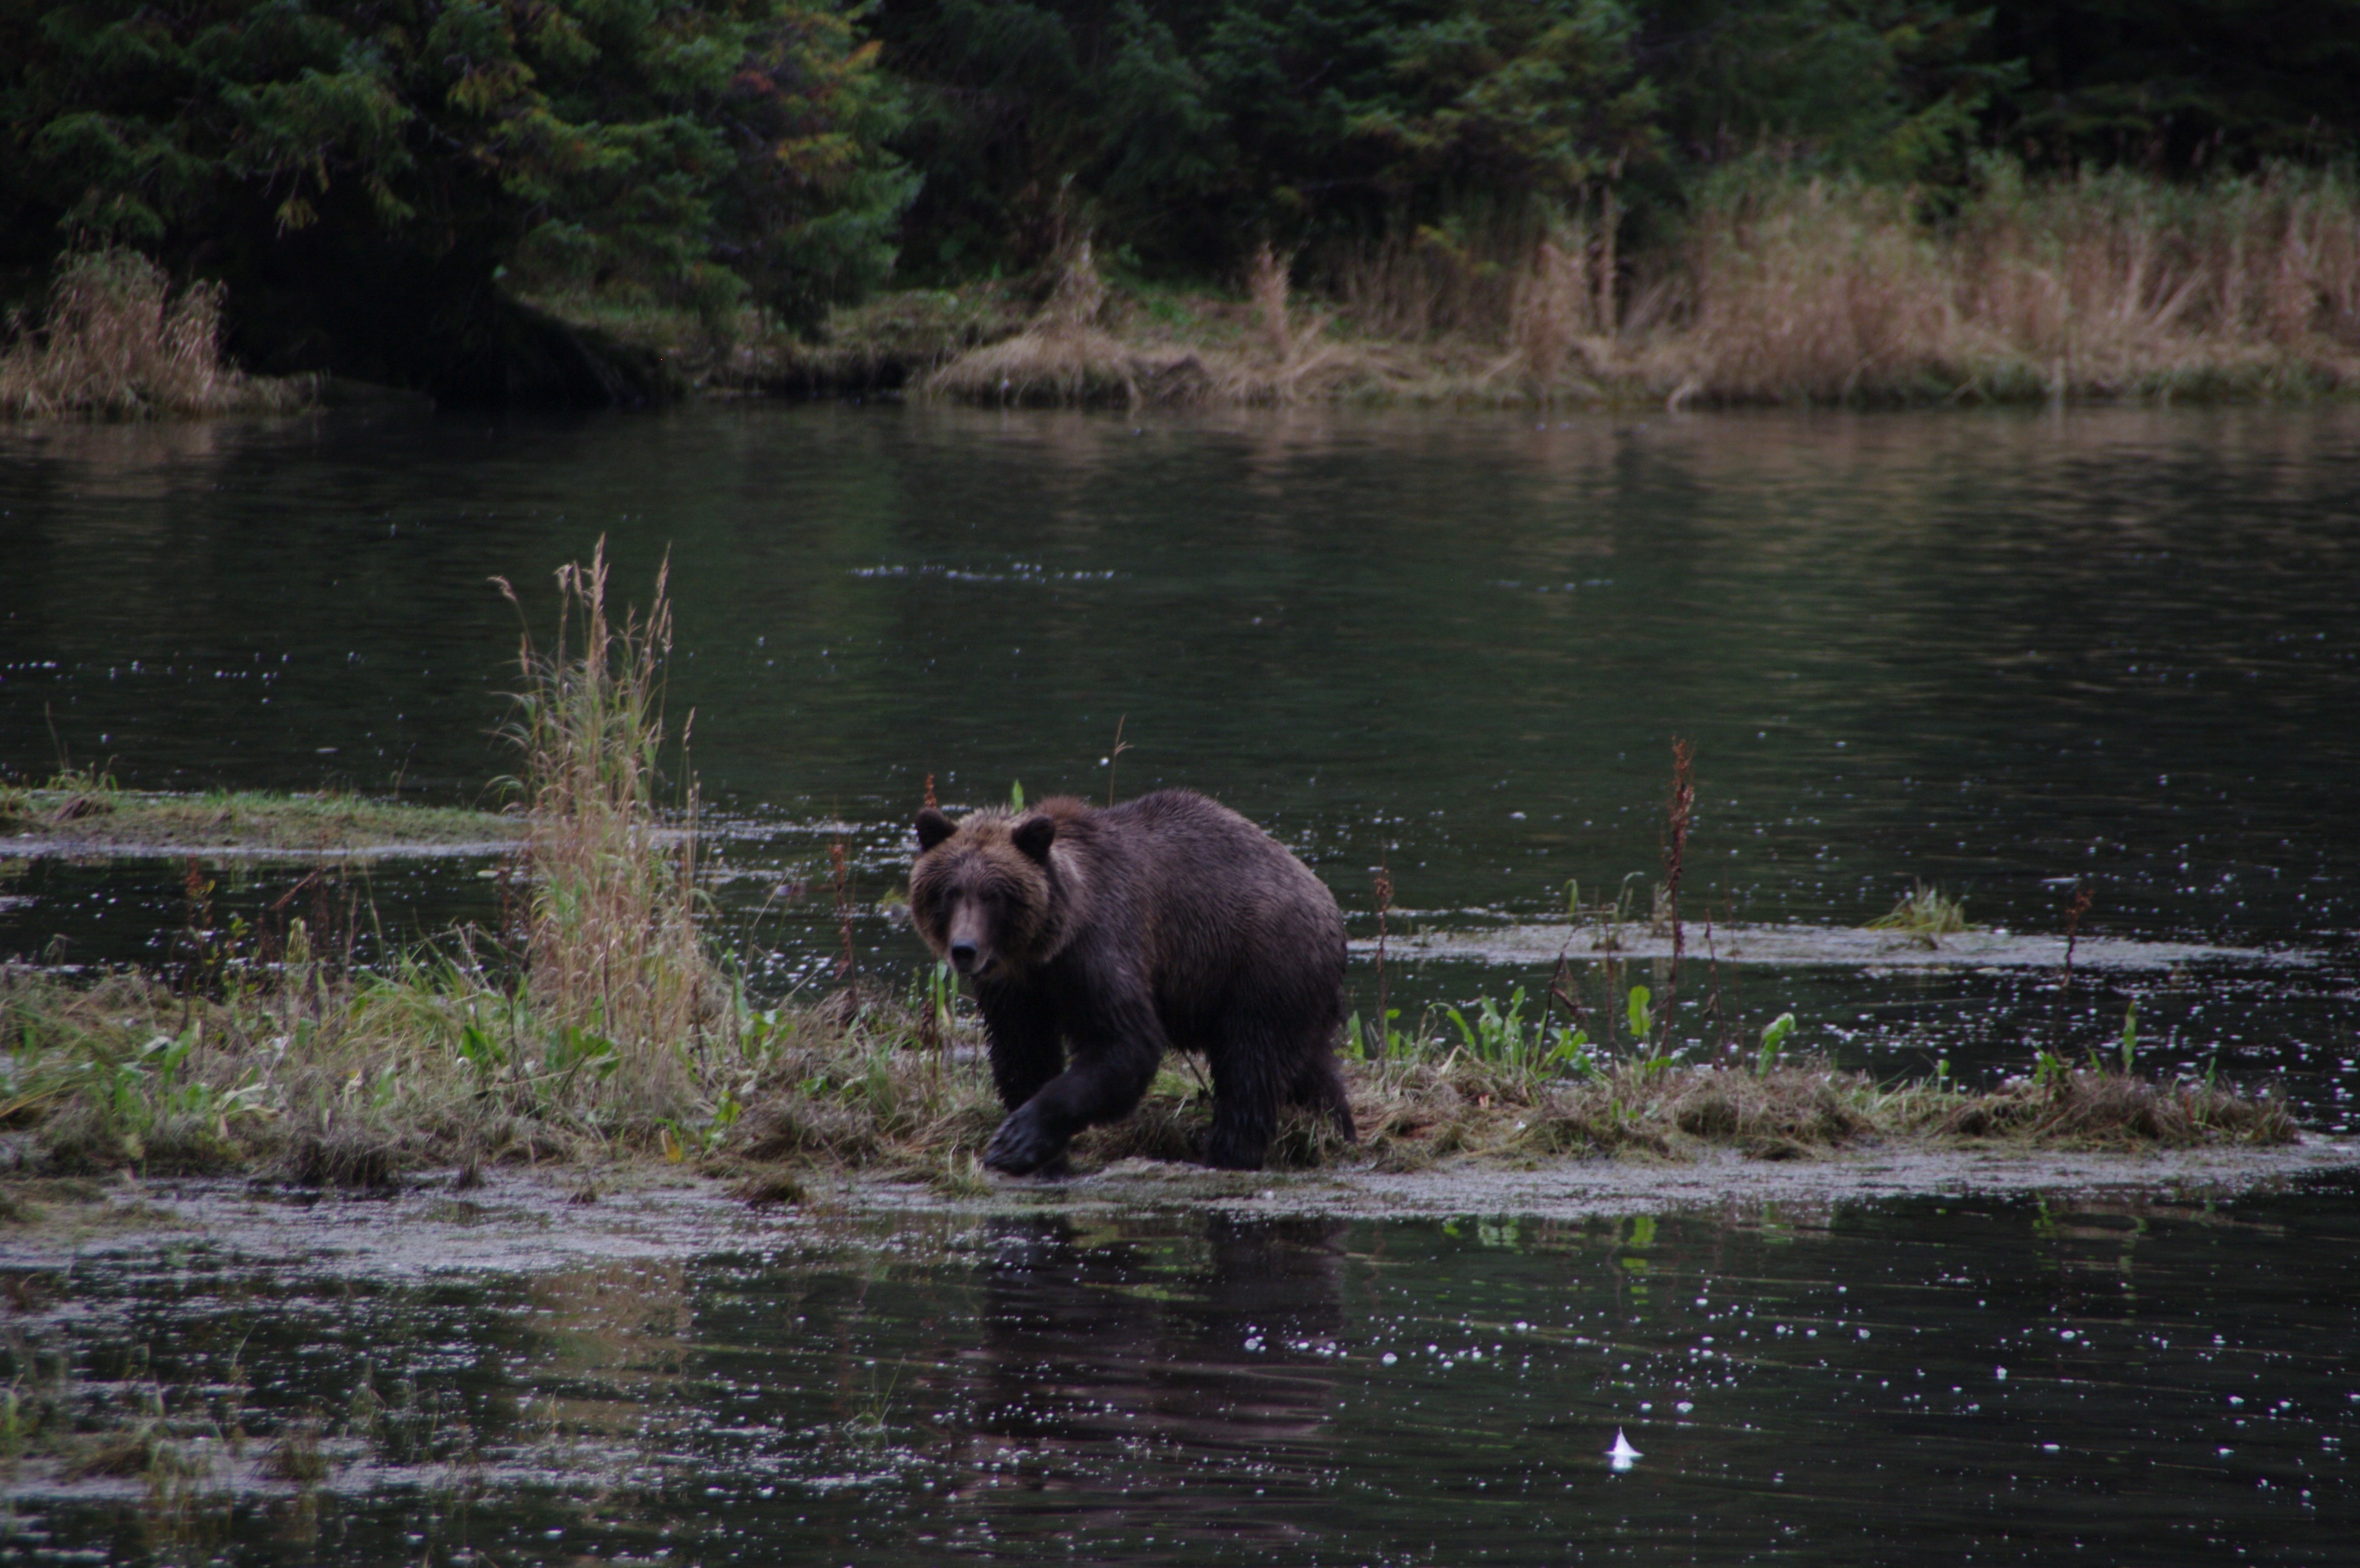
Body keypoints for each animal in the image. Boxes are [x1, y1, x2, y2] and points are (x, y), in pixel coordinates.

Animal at [911, 789, 1359, 1171]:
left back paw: (1229, 1152)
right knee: (1311, 1070)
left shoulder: (1100, 950)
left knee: (1250, 1066)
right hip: (1297, 992)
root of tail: (1331, 908)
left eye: (994, 895)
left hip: (1261, 965)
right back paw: (1338, 1132)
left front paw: (1018, 1138)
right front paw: (1041, 1152)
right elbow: (1022, 1052)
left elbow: (1125, 1044)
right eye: (950, 892)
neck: (1045, 947)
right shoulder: (1016, 987)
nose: (964, 950)